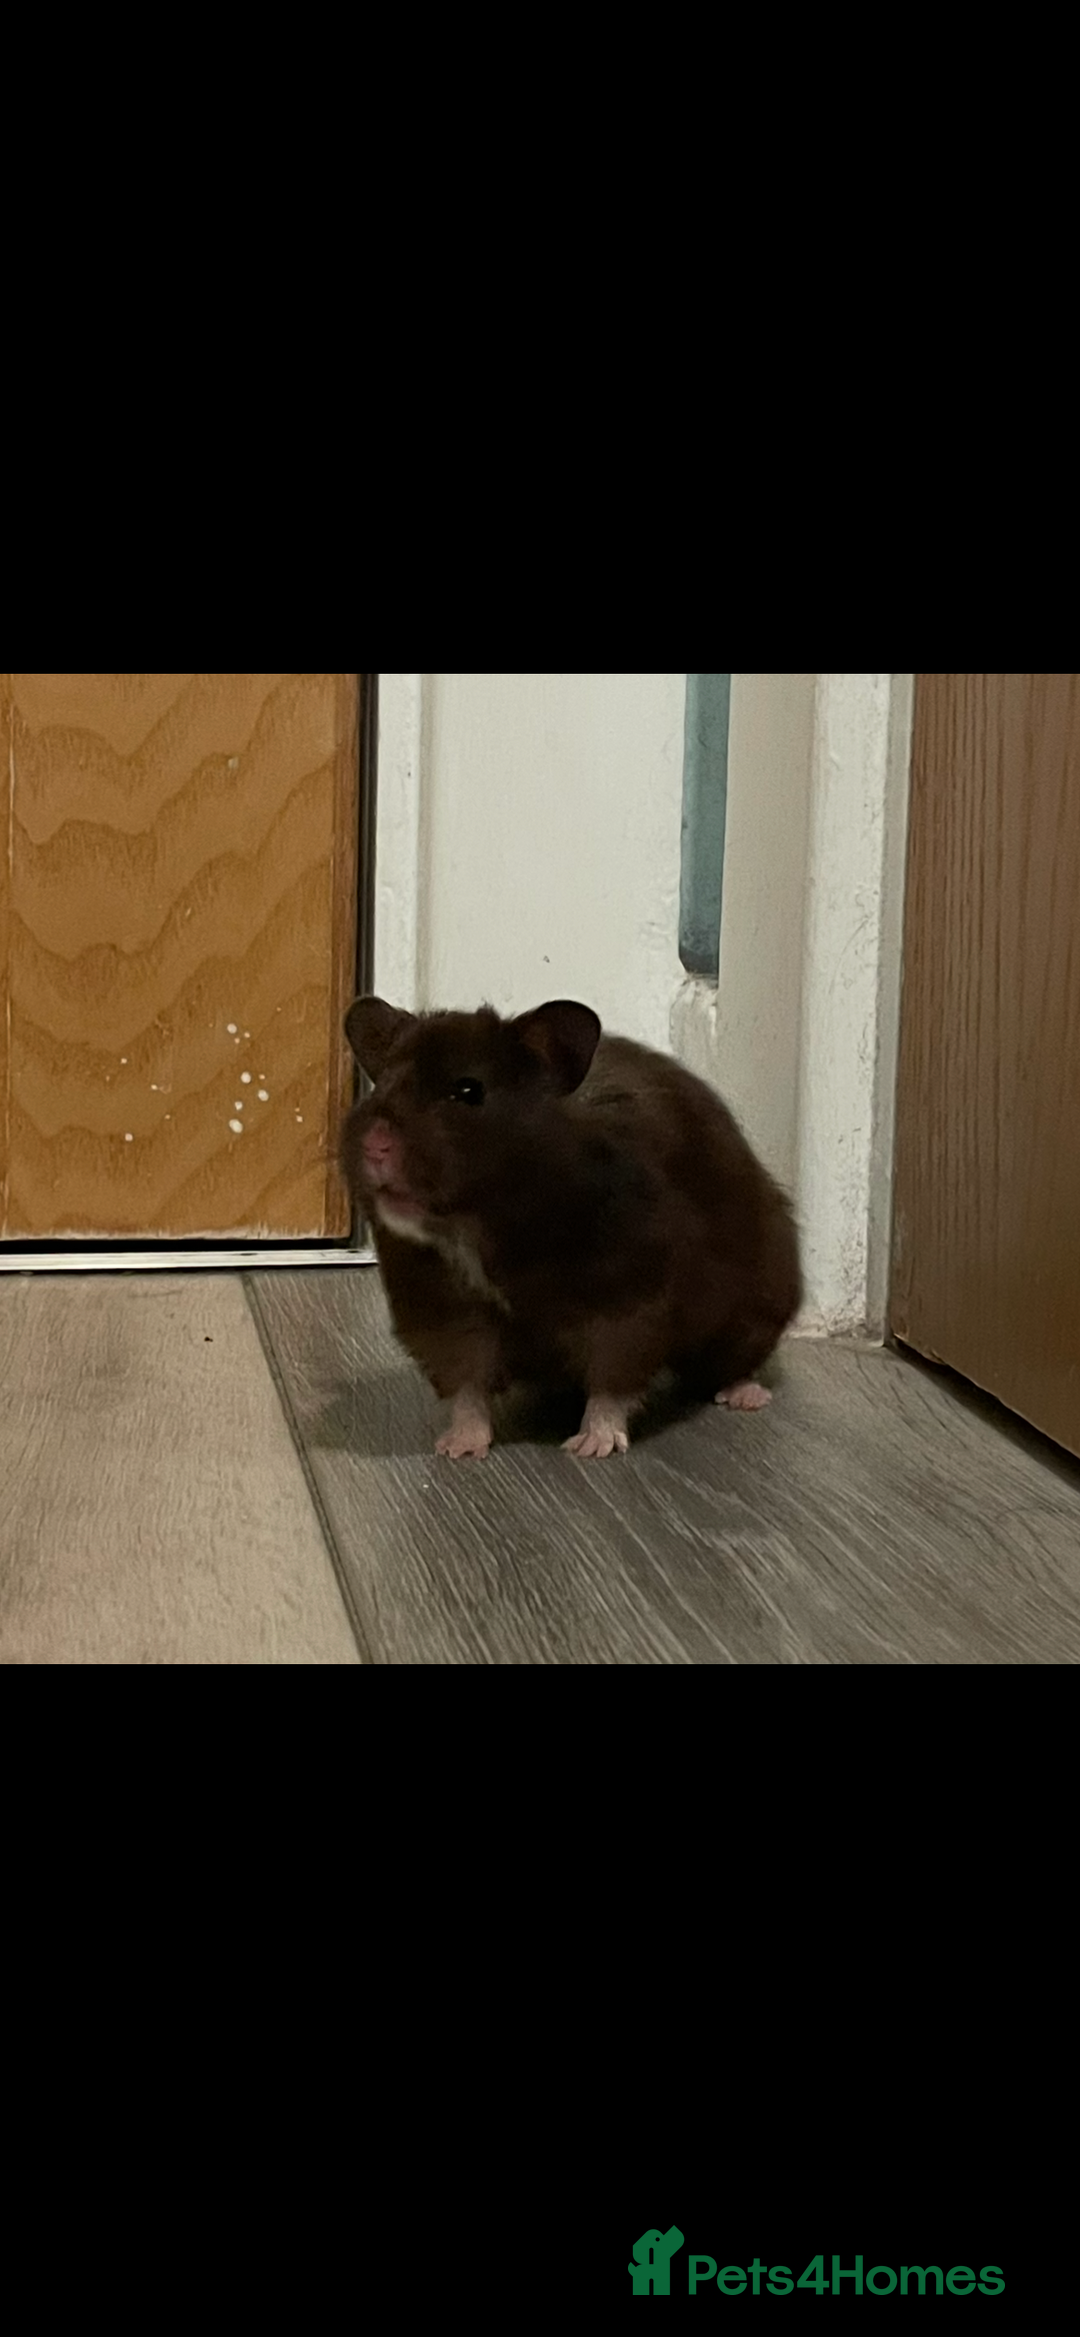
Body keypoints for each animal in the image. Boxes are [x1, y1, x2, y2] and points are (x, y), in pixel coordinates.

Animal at [342, 996, 802, 1460]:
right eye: (381, 1085)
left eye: (469, 1091)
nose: (375, 1147)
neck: (477, 1226)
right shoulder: (444, 1312)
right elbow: (467, 1383)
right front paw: (456, 1448)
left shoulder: (629, 1299)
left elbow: (611, 1381)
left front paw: (590, 1446)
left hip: (753, 1307)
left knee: (731, 1363)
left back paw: (746, 1396)